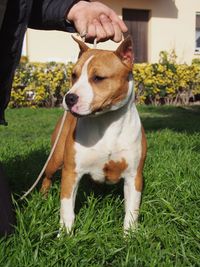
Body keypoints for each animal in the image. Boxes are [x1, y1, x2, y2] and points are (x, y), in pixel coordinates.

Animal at [40, 36, 147, 233]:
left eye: (98, 78)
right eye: (74, 75)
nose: (69, 98)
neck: (106, 122)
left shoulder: (134, 176)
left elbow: (131, 212)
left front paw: (129, 236)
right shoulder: (71, 173)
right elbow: (66, 209)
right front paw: (65, 235)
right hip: (55, 159)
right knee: (47, 176)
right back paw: (43, 196)